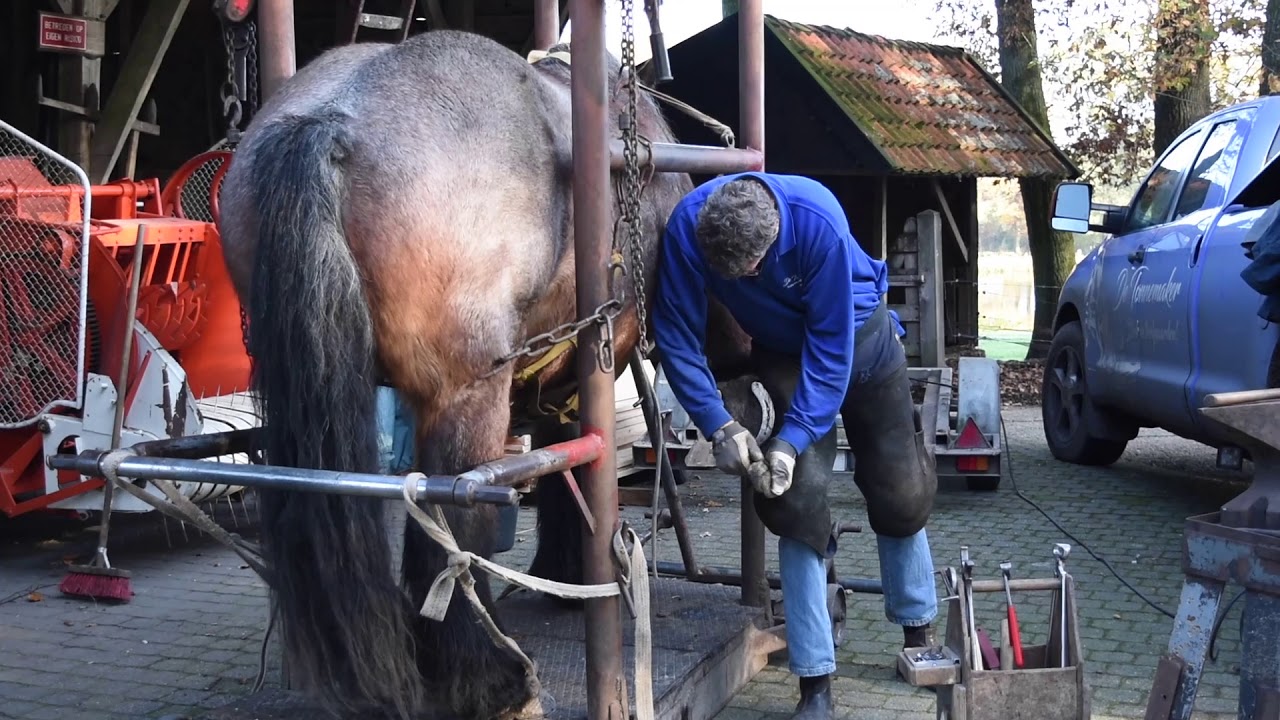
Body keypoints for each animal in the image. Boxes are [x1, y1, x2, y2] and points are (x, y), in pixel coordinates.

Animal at [216, 28, 755, 720]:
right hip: (465, 395)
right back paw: (486, 676)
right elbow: (570, 467)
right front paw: (569, 575)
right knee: (445, 513)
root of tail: (333, 121)